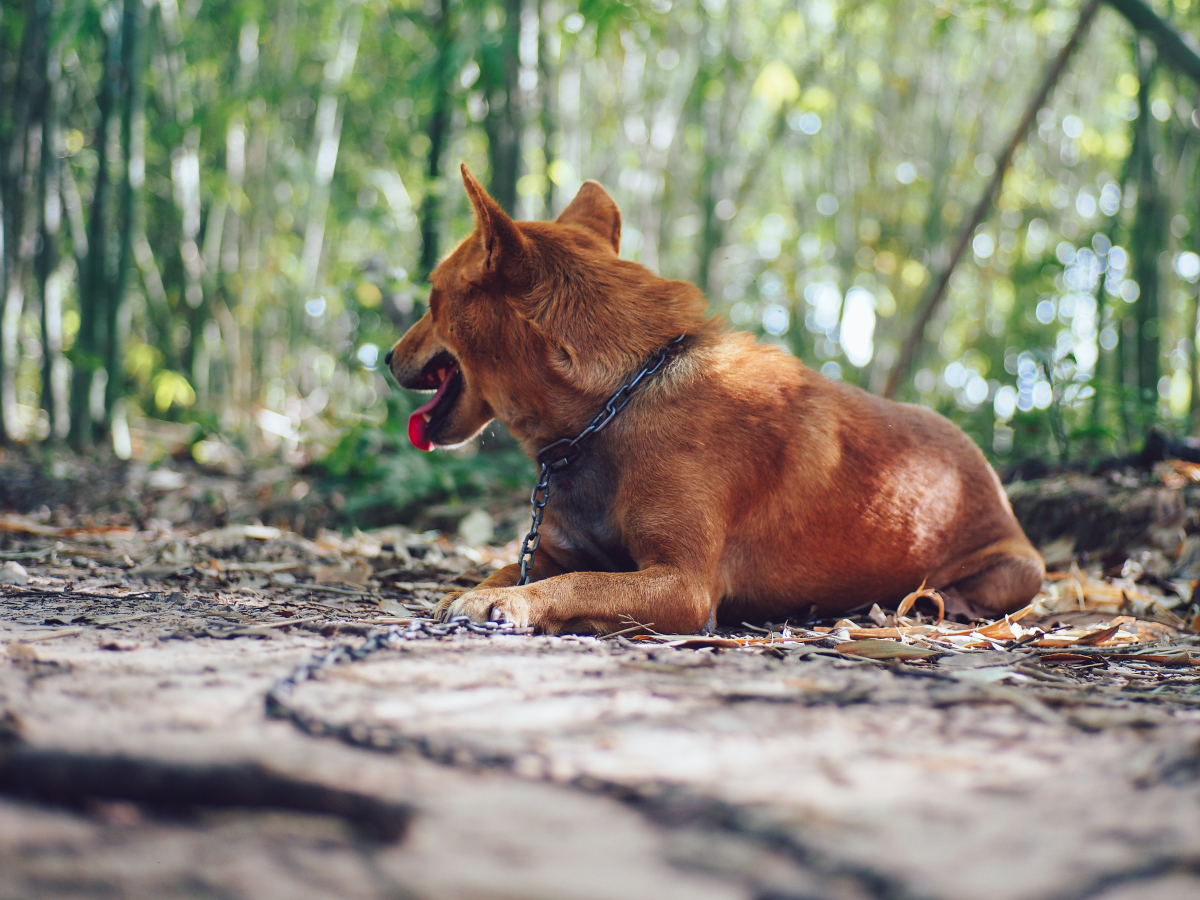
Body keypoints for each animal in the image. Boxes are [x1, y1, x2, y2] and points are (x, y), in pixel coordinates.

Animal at [386, 165, 1041, 638]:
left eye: (432, 297)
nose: (386, 358)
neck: (621, 397)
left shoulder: (682, 583)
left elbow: (579, 585)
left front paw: (506, 602)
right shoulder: (552, 552)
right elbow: (512, 566)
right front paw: (478, 589)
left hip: (1019, 571)